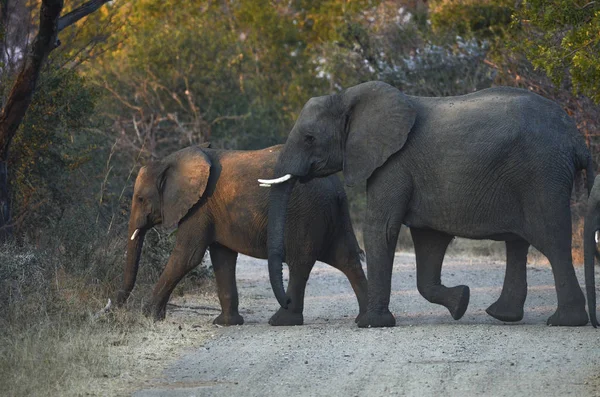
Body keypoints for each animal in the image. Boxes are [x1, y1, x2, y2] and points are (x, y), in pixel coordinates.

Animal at [260, 81, 596, 328]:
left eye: (309, 137)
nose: (285, 303)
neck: (346, 96)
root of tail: (576, 139)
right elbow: (428, 243)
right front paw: (461, 302)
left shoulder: (393, 163)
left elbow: (381, 229)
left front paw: (371, 324)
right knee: (518, 242)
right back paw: (502, 315)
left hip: (542, 174)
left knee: (551, 240)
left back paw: (564, 322)